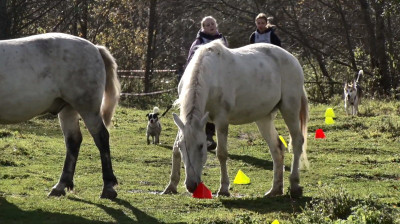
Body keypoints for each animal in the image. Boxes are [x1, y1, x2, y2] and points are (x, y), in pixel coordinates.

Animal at [0, 32, 121, 200]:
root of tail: (95, 48)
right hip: (68, 110)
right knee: (73, 141)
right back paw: (61, 185)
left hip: (87, 108)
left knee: (101, 137)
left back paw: (108, 187)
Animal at [162, 40, 310, 198]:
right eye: (182, 146)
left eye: (201, 146)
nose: (191, 186)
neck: (210, 75)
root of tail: (292, 59)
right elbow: (174, 150)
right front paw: (171, 186)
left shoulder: (221, 120)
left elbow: (221, 153)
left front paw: (223, 189)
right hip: (264, 118)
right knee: (276, 147)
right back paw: (275, 189)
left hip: (290, 109)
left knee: (297, 142)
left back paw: (294, 185)